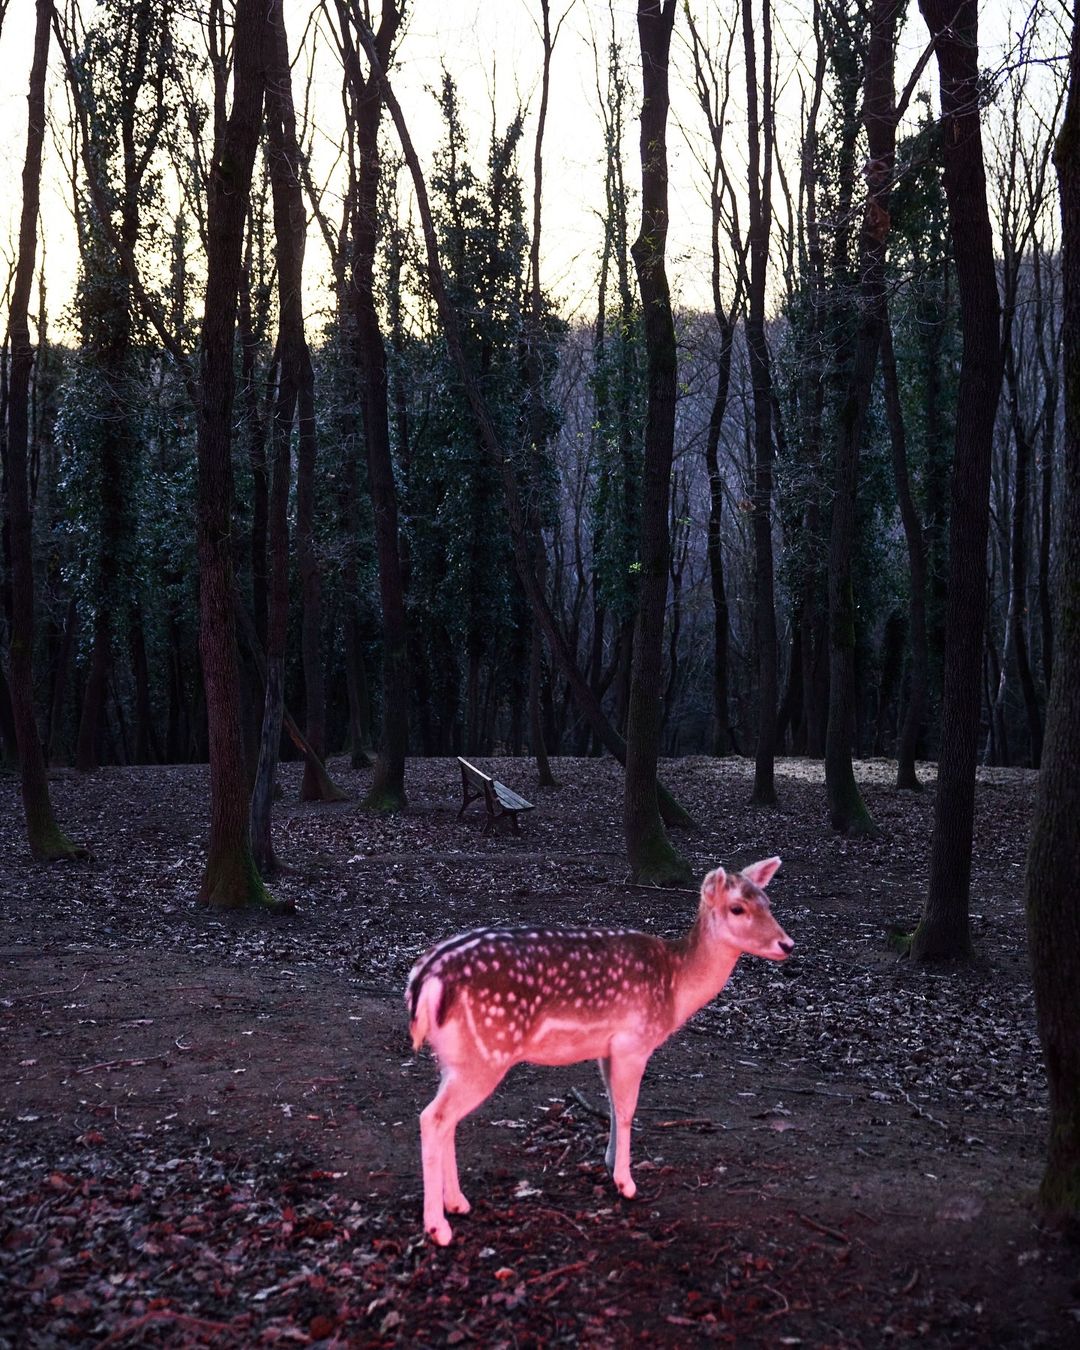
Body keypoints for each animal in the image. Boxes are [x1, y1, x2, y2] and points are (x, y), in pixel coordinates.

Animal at [405, 857, 793, 1245]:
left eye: (768, 902)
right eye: (737, 907)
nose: (787, 944)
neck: (676, 988)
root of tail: (424, 981)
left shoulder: (607, 1048)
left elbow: (610, 1103)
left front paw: (608, 1165)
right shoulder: (634, 1042)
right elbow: (627, 1109)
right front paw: (626, 1183)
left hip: (455, 1057)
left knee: (447, 1119)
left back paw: (457, 1203)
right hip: (488, 1051)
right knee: (432, 1117)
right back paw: (438, 1227)